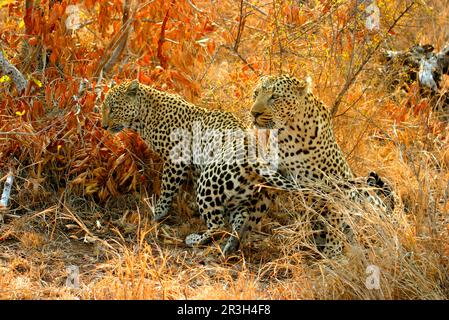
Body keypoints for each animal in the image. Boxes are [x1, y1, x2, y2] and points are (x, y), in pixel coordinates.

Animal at [101, 79, 302, 255]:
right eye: (104, 108)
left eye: (113, 108)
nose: (103, 126)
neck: (144, 116)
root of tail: (255, 159)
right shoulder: (196, 166)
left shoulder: (176, 160)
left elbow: (166, 190)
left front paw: (157, 213)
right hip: (239, 196)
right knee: (239, 220)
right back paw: (230, 246)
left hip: (209, 182)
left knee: (218, 225)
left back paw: (194, 239)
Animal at [248, 75, 396, 258]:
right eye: (256, 93)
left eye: (274, 97)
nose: (254, 113)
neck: (287, 135)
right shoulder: (273, 176)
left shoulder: (334, 187)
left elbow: (335, 218)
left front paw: (333, 251)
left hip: (366, 199)